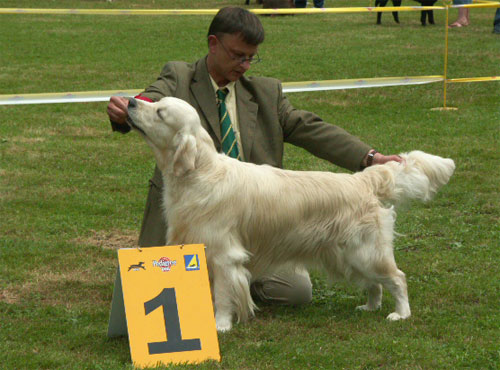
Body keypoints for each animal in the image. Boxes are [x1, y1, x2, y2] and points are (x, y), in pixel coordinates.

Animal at [127, 95, 456, 332]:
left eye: (160, 112)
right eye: (154, 102)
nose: (129, 101)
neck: (200, 173)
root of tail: (362, 180)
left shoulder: (224, 254)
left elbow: (222, 294)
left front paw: (221, 326)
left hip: (366, 251)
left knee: (397, 278)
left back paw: (401, 313)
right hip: (349, 255)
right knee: (375, 283)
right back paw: (370, 307)